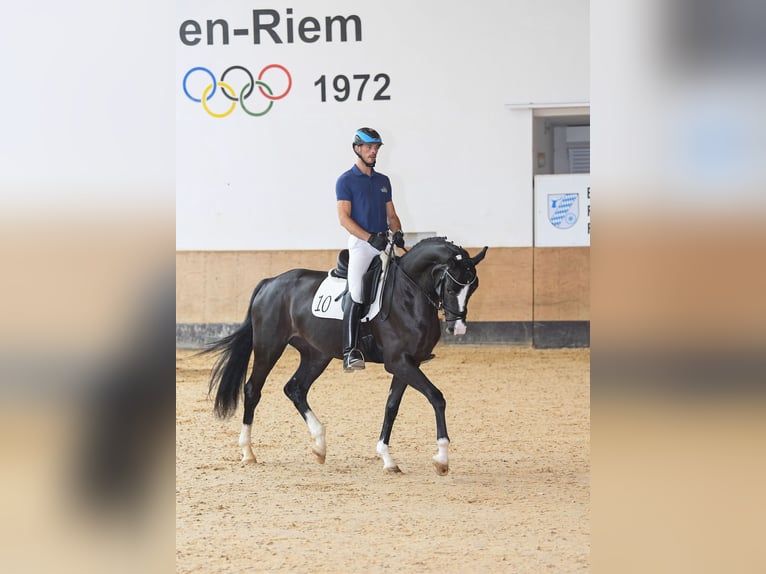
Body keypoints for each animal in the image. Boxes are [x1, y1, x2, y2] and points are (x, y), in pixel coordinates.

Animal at [204, 236, 488, 474]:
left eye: (473, 287)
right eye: (450, 288)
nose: (457, 328)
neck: (408, 294)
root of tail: (270, 283)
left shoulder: (408, 363)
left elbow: (391, 407)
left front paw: (387, 459)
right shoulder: (399, 363)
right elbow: (436, 397)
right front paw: (441, 459)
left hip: (316, 355)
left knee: (295, 388)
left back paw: (319, 447)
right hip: (268, 347)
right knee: (253, 390)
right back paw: (248, 452)